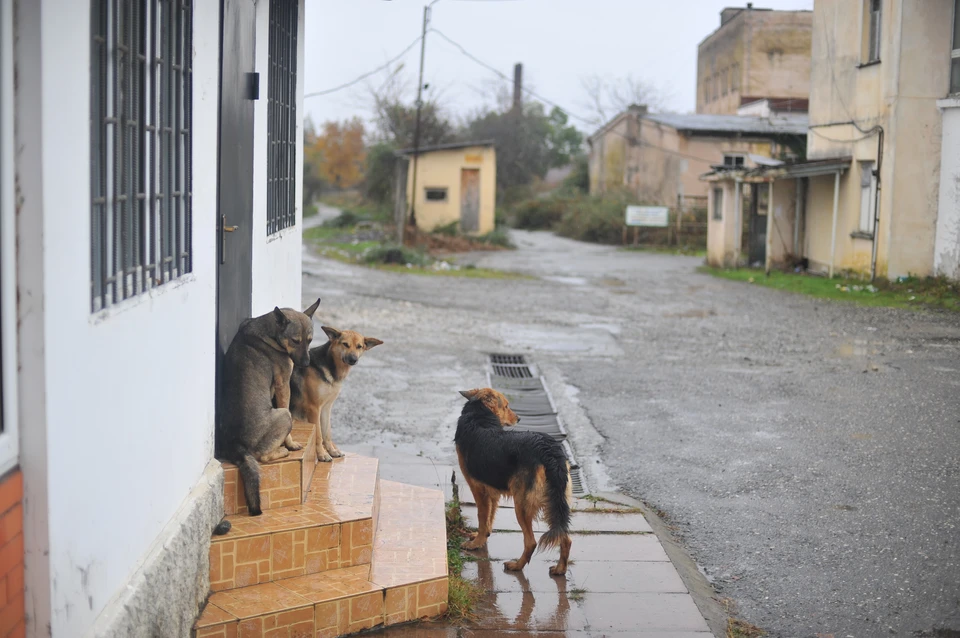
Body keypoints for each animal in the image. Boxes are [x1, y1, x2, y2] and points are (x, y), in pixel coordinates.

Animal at [218, 298, 320, 516]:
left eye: (309, 340)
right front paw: (290, 444)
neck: (271, 331)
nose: (306, 364)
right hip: (283, 416)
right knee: (262, 457)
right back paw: (282, 451)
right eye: (295, 341)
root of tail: (236, 444)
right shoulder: (283, 386)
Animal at [288, 328, 382, 462]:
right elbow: (318, 434)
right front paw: (322, 455)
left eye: (359, 346)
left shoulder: (326, 408)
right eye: (345, 344)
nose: (353, 359)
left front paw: (332, 451)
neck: (330, 366)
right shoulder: (314, 408)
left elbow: (327, 433)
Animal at [456, 388, 572, 576]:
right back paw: (560, 569)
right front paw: (483, 536)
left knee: (531, 542)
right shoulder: (492, 490)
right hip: (555, 503)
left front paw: (476, 543)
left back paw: (517, 566)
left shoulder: (478, 489)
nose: (519, 419)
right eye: (506, 406)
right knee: (566, 538)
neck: (479, 415)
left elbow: (482, 517)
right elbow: (489, 517)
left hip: (522, 505)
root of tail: (548, 450)